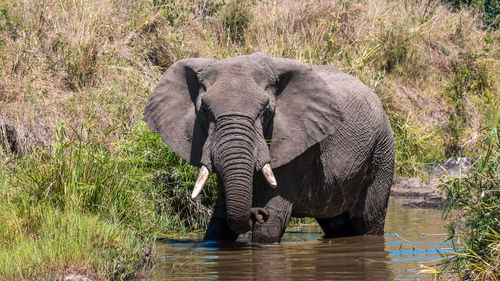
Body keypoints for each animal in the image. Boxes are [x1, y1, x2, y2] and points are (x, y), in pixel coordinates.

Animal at [145, 52, 394, 243]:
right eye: (205, 110)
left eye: (265, 111)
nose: (257, 212)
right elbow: (219, 225)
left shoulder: (298, 149)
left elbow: (270, 227)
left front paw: (267, 216)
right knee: (336, 223)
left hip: (382, 151)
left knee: (367, 221)